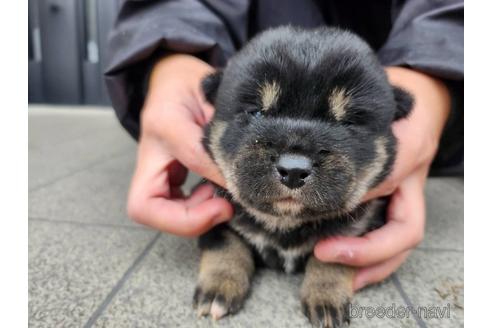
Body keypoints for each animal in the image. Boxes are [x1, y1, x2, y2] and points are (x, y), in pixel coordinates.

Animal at [191, 26, 412, 328]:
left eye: (347, 123)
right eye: (256, 112)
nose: (293, 170)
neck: (286, 222)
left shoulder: (358, 231)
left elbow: (332, 258)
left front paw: (326, 298)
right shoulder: (217, 209)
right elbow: (225, 243)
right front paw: (219, 288)